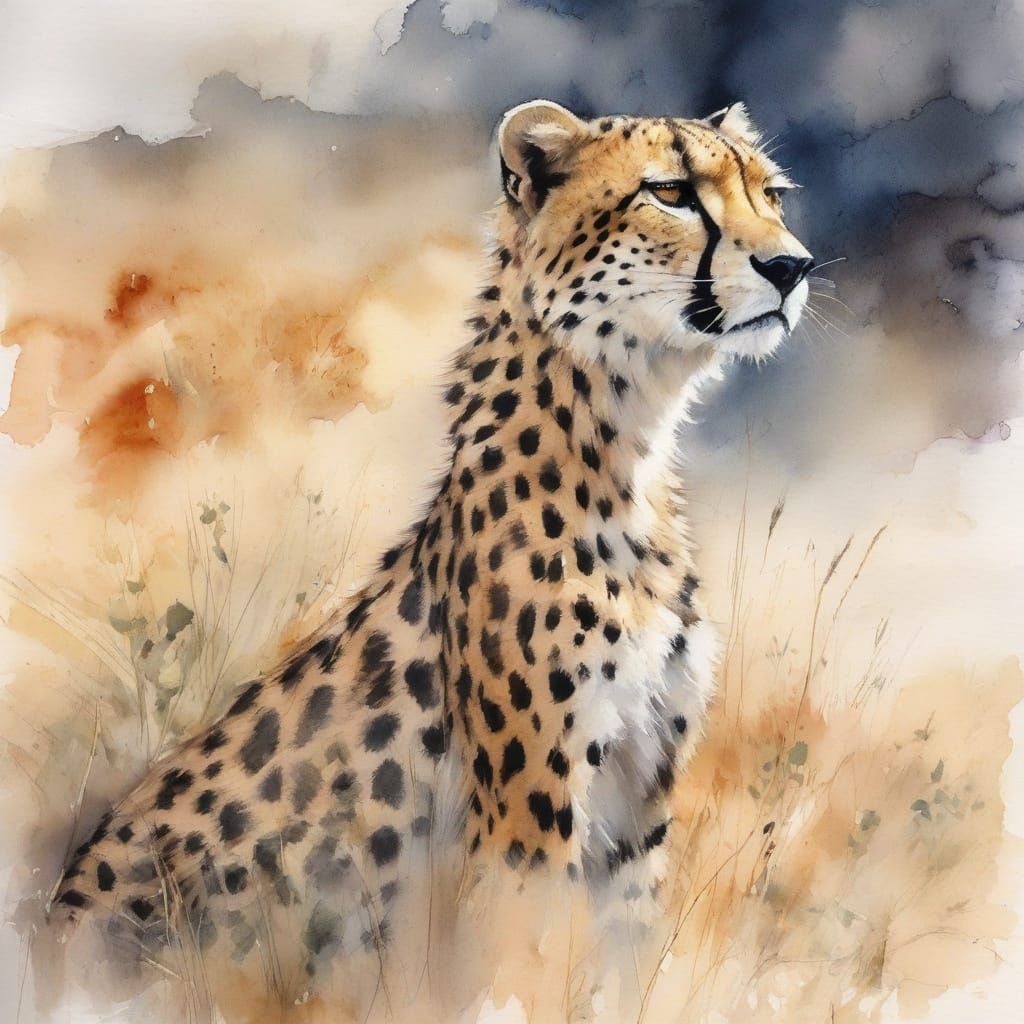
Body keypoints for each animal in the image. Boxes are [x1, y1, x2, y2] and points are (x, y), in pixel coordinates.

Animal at [50, 98, 812, 997]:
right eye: (671, 193)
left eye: (772, 195)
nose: (792, 266)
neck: (628, 452)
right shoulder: (527, 824)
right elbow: (523, 973)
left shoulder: (635, 810)